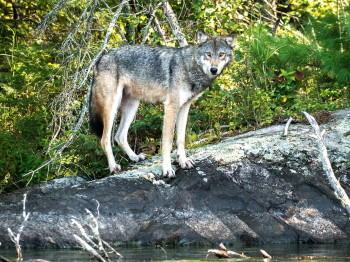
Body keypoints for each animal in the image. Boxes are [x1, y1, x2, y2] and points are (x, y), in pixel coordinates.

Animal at [89, 29, 237, 178]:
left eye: (221, 54)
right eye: (208, 54)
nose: (214, 69)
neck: (190, 67)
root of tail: (100, 58)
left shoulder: (184, 107)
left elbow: (181, 139)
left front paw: (183, 162)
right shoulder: (171, 107)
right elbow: (168, 142)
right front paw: (167, 169)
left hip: (132, 107)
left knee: (119, 136)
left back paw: (135, 157)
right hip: (112, 107)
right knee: (104, 139)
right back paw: (114, 167)